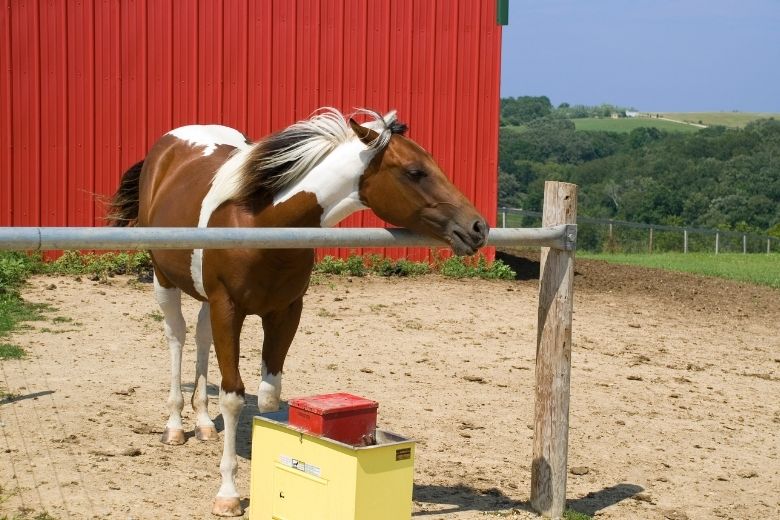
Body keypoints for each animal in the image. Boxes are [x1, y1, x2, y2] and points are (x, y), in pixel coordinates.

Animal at [108, 106, 488, 516]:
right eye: (415, 171)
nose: (478, 228)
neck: (261, 223)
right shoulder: (229, 309)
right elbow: (233, 395)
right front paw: (228, 493)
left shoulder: (285, 312)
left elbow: (268, 397)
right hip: (164, 279)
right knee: (176, 337)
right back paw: (176, 425)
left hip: (206, 298)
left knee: (200, 337)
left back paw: (205, 422)